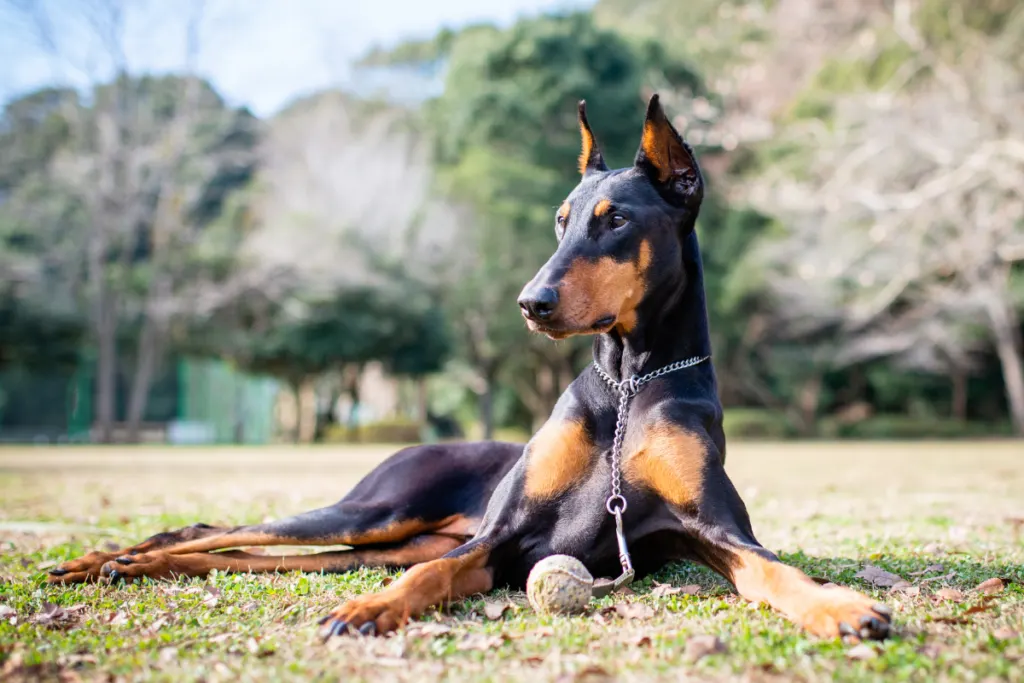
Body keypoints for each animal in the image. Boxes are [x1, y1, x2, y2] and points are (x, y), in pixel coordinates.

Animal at [51, 96, 892, 647]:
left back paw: (118, 565)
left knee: (267, 554)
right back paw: (106, 558)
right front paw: (369, 611)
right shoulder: (499, 536)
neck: (628, 386)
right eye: (560, 220)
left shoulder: (712, 528)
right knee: (221, 530)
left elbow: (778, 572)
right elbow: (419, 584)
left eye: (616, 219)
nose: (531, 301)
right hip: (383, 509)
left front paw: (840, 606)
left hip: (397, 534)